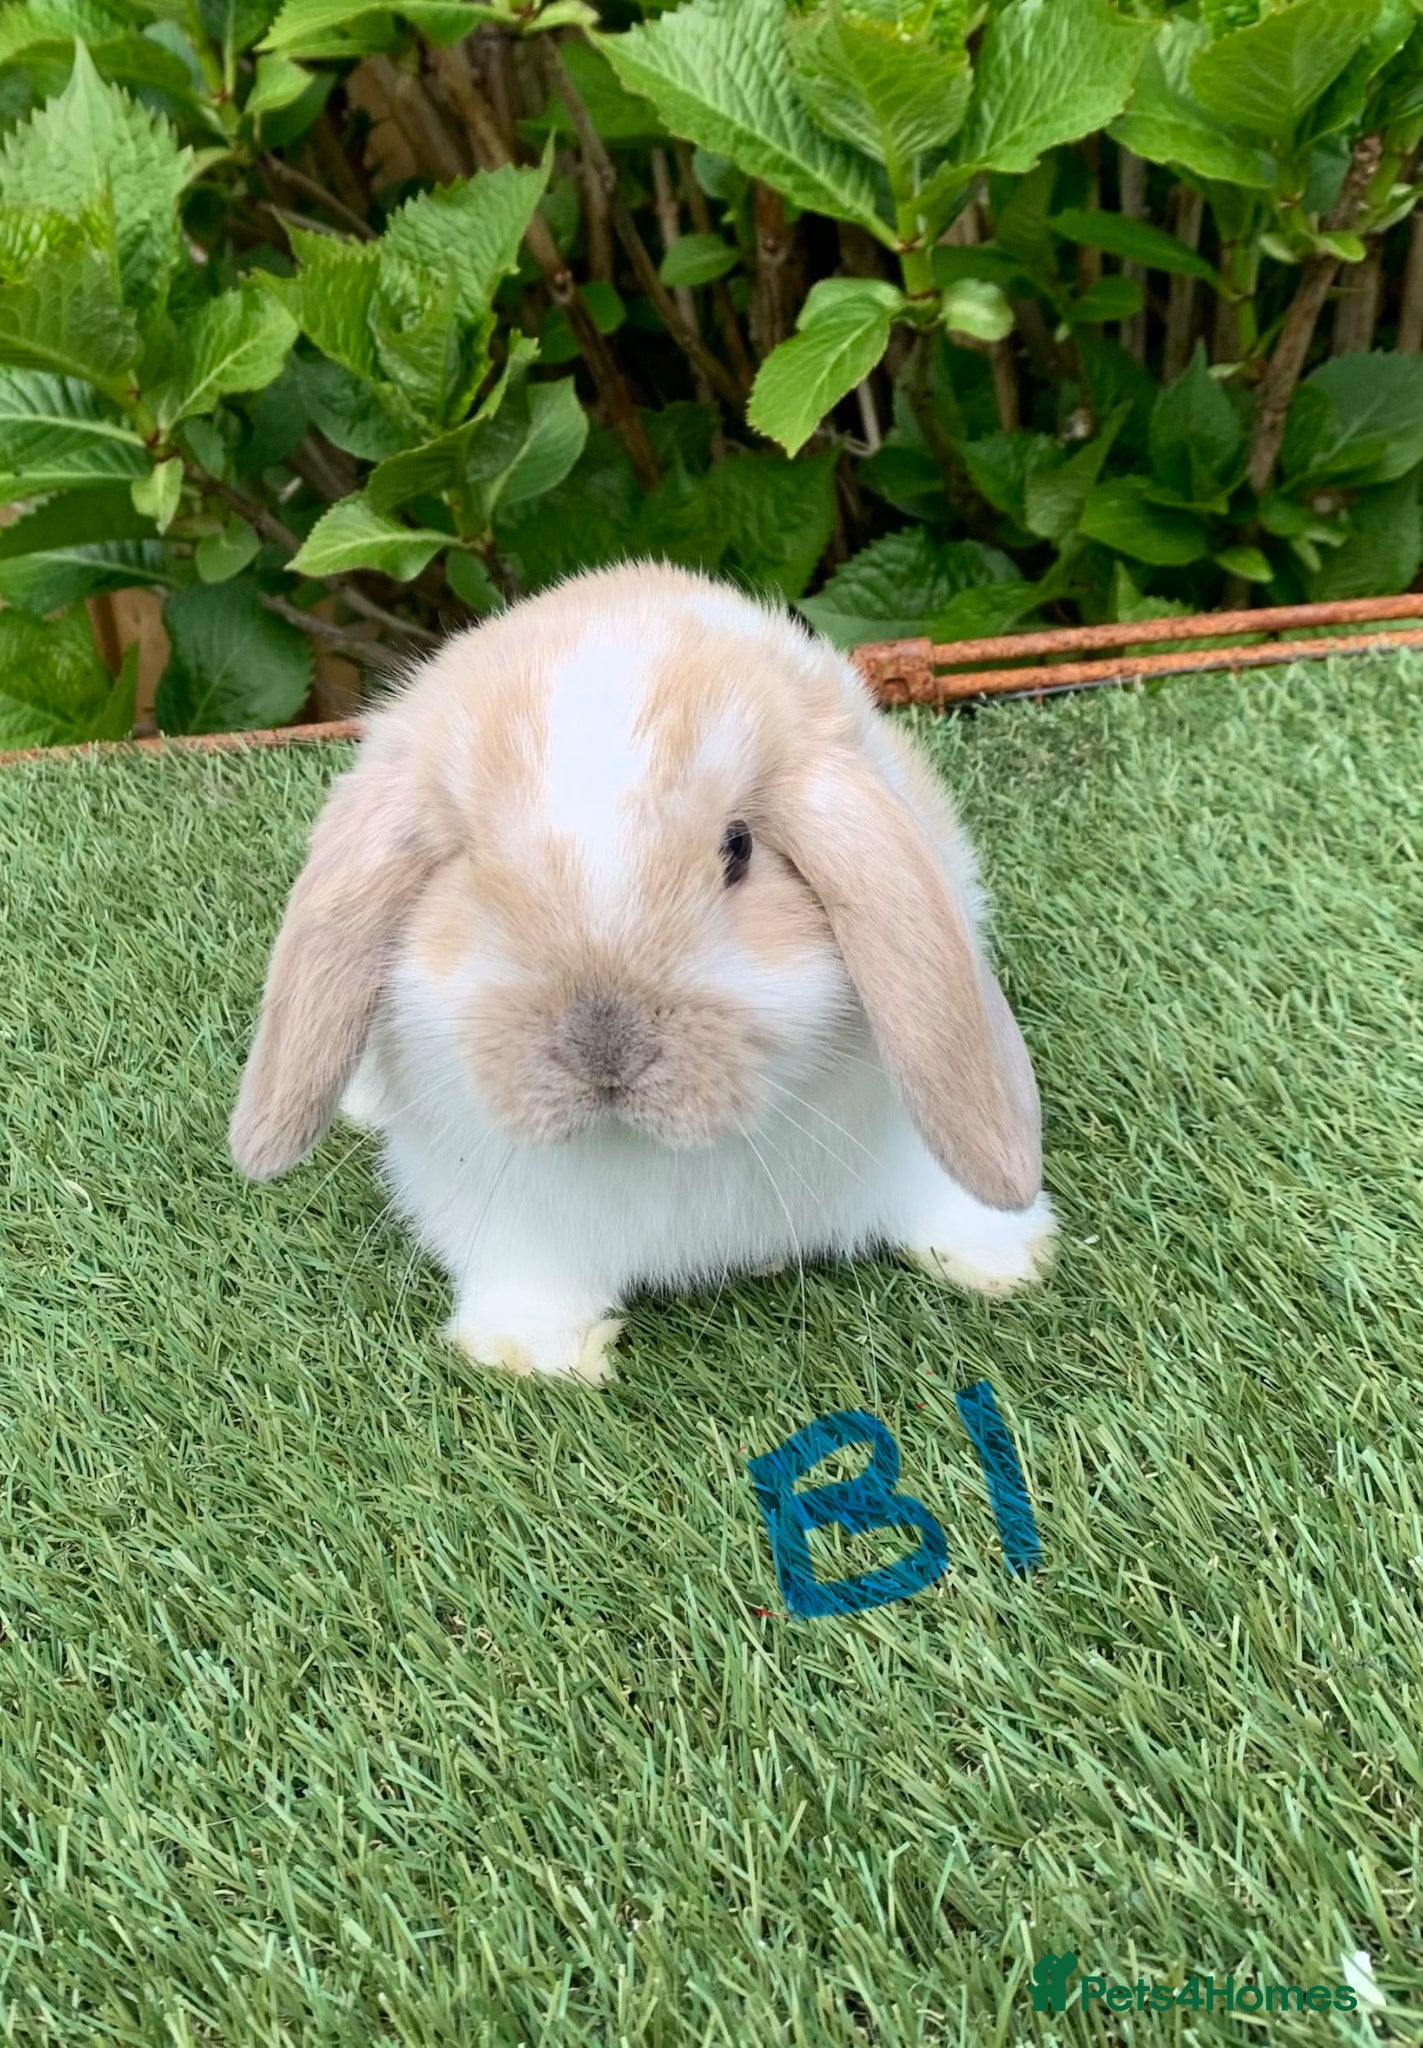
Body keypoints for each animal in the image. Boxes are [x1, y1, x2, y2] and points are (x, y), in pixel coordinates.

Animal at [230, 562, 1054, 1385]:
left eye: (737, 848)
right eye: (469, 868)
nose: (604, 1048)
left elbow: (942, 1197)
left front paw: (1005, 1258)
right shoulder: (506, 1222)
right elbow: (528, 1278)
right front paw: (535, 1354)